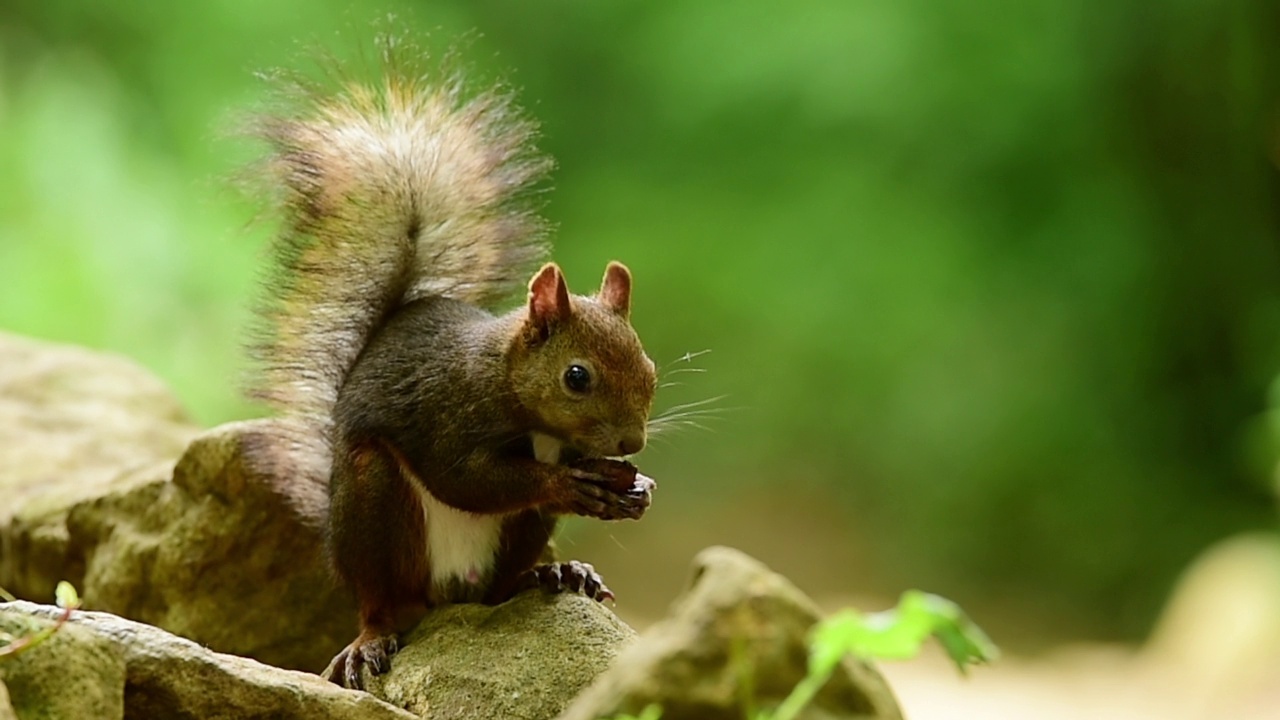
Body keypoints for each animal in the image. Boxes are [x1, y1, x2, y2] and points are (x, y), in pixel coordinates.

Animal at [244, 47, 660, 686]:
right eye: (577, 376)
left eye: (651, 368)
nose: (632, 444)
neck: (508, 385)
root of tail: (444, 591)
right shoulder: (447, 410)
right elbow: (464, 478)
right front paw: (567, 485)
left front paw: (635, 491)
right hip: (372, 507)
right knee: (379, 598)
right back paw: (371, 638)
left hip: (517, 535)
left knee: (496, 591)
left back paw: (554, 574)